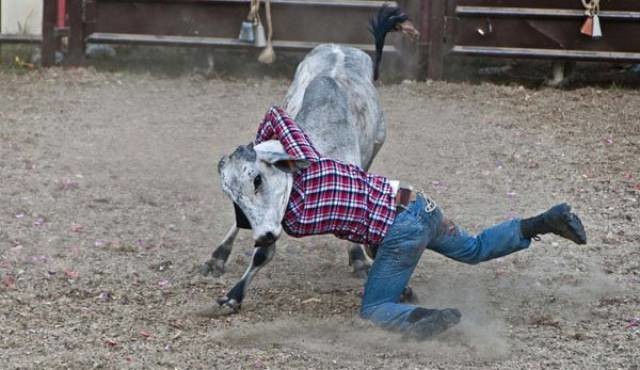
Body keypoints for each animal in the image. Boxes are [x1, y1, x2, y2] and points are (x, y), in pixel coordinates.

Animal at [202, 6, 418, 312]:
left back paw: (358, 259)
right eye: (231, 196)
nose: (263, 234)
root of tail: (340, 47)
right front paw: (233, 296)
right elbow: (262, 254)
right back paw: (217, 257)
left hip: (375, 148)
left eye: (257, 180)